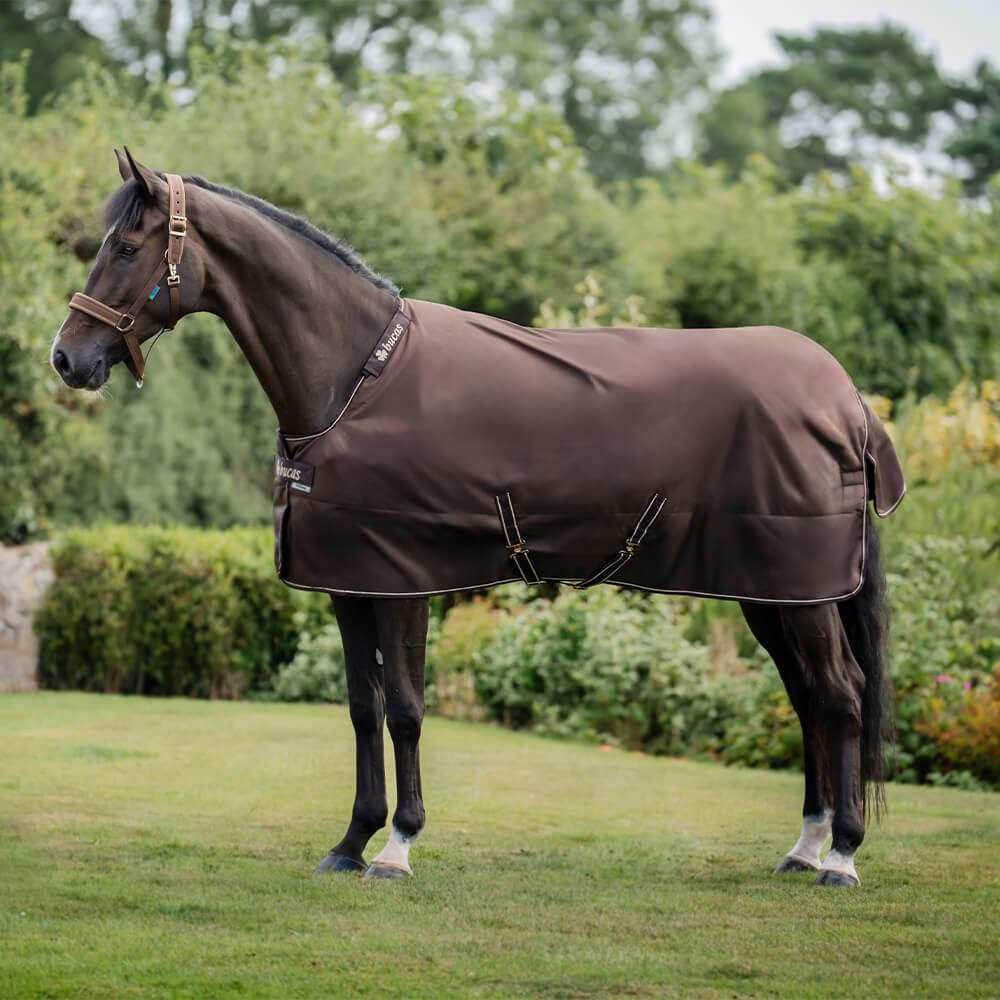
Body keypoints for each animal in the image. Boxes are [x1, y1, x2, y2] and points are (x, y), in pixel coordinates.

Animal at [51, 150, 904, 888]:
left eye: (127, 247)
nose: (66, 359)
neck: (355, 377)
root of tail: (849, 401)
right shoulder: (348, 585)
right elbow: (361, 710)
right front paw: (350, 841)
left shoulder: (402, 584)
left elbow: (405, 710)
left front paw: (397, 847)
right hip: (774, 593)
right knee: (808, 699)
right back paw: (804, 846)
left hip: (802, 594)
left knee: (840, 695)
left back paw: (842, 857)